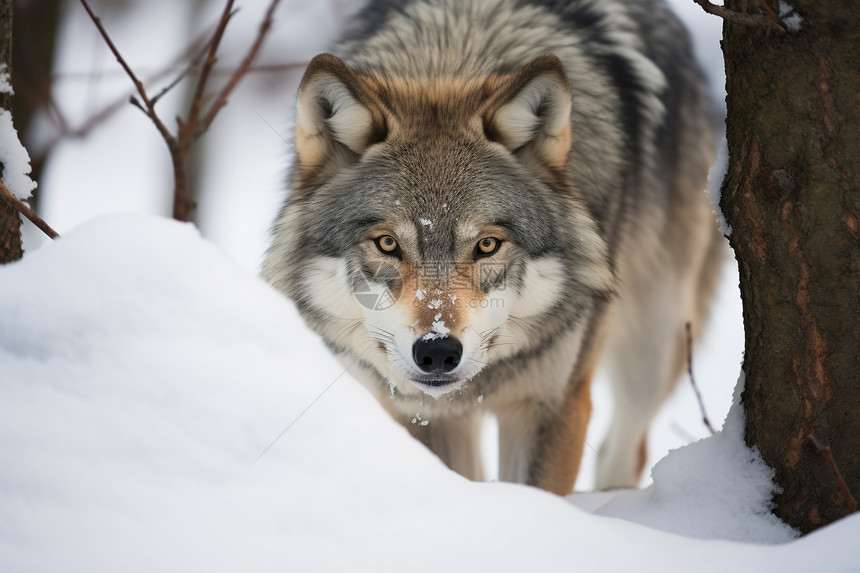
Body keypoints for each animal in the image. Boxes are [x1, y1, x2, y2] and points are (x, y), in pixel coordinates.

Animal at [266, 0, 724, 492]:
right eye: (387, 243)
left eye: (487, 245)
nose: (437, 351)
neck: (452, 55)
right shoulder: (418, 412)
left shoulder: (551, 404)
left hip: (653, 349)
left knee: (627, 450)